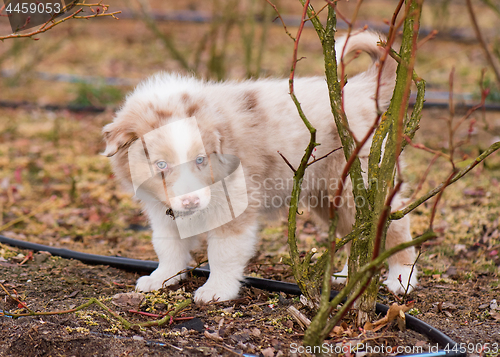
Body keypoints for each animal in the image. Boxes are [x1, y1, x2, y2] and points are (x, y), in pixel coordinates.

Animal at [102, 32, 418, 302]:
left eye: (201, 159)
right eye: (161, 164)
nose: (191, 202)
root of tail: (362, 89)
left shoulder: (234, 206)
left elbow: (223, 252)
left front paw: (216, 291)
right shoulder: (161, 208)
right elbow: (168, 244)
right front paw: (162, 278)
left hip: (355, 184)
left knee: (395, 227)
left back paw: (401, 278)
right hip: (328, 195)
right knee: (358, 231)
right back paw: (346, 275)